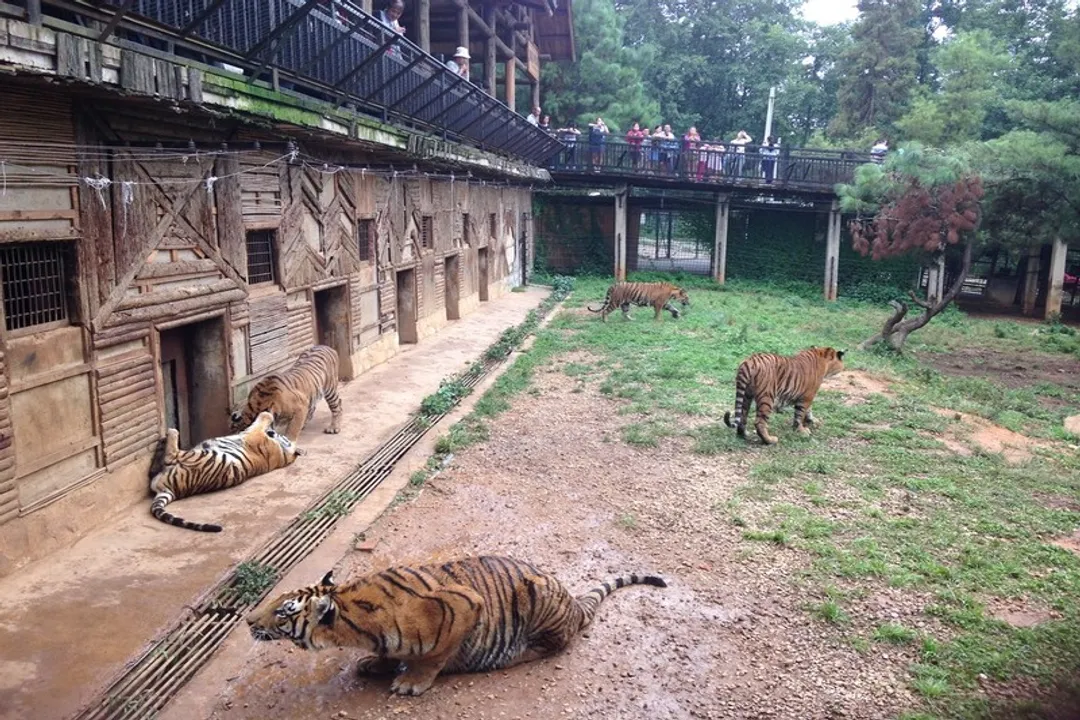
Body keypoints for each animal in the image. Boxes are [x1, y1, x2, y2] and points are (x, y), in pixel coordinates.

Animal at [149, 411, 303, 532]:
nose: (273, 432)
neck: (283, 456)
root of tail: (170, 490)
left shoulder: (254, 434)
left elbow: (263, 418)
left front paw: (266, 414)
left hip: (203, 457)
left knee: (171, 456)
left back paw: (171, 433)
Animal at [246, 555, 666, 696]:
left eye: (283, 611)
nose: (248, 619)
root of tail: (572, 601)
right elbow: (385, 652)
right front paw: (375, 664)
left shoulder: (463, 604)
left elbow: (434, 657)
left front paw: (411, 681)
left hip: (537, 596)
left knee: (556, 643)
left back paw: (519, 653)